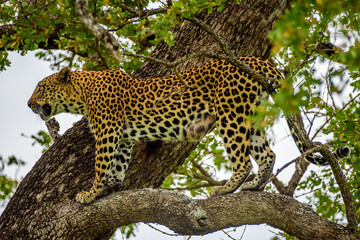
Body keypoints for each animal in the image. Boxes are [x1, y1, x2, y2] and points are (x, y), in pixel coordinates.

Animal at [28, 55, 352, 202]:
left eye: (41, 87)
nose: (29, 104)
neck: (82, 93)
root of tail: (256, 60)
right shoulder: (123, 137)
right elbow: (117, 164)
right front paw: (111, 187)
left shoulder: (108, 131)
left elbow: (101, 163)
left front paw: (91, 192)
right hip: (252, 116)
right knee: (267, 154)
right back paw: (254, 186)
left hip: (230, 114)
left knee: (243, 159)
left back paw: (226, 188)